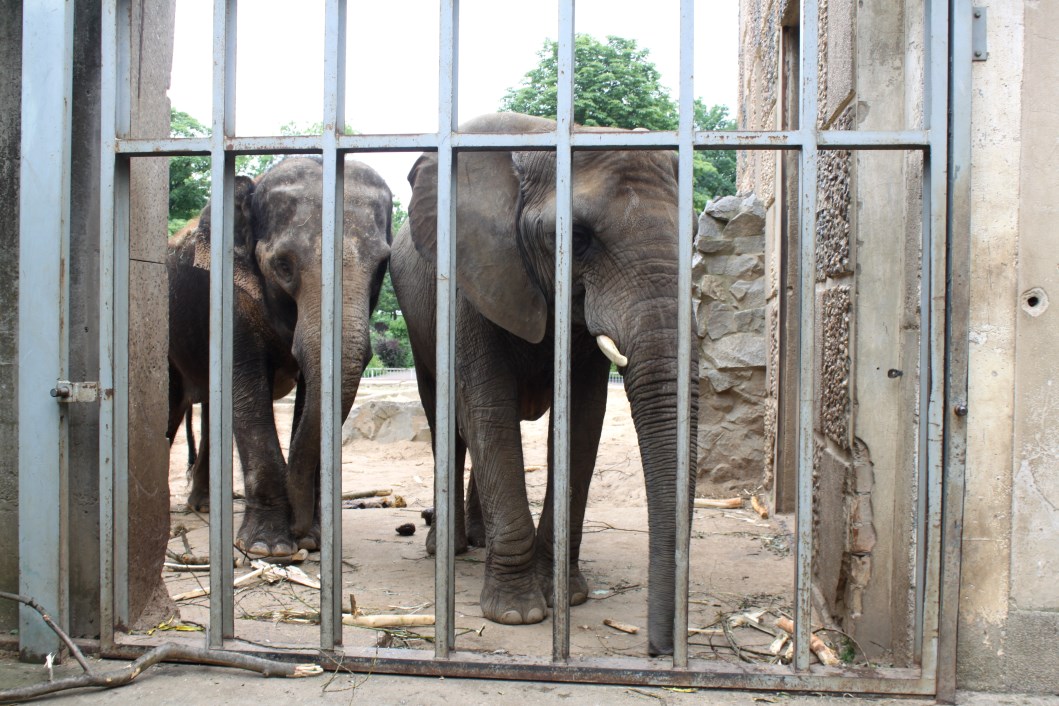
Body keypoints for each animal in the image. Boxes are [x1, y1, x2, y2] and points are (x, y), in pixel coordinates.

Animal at [167, 156, 393, 558]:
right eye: (284, 266)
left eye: (381, 265)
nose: (301, 530)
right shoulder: (232, 295)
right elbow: (246, 389)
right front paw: (267, 547)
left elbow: (308, 395)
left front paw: (311, 537)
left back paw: (204, 506)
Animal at [389, 112, 698, 655]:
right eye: (578, 237)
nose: (657, 649)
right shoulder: (473, 277)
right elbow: (488, 406)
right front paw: (517, 614)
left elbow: (582, 418)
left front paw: (567, 598)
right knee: (447, 420)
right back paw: (448, 548)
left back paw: (479, 540)